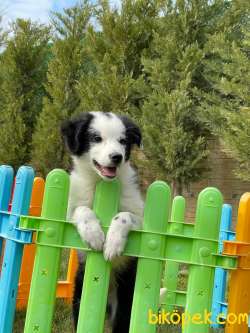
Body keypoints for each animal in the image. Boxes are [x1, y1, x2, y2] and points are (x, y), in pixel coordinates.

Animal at [61, 112, 144, 332]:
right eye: (96, 138)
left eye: (123, 141)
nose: (117, 157)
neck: (101, 184)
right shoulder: (68, 211)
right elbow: (82, 209)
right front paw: (94, 235)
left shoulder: (143, 219)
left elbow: (124, 215)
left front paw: (113, 244)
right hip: (80, 297)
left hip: (124, 304)